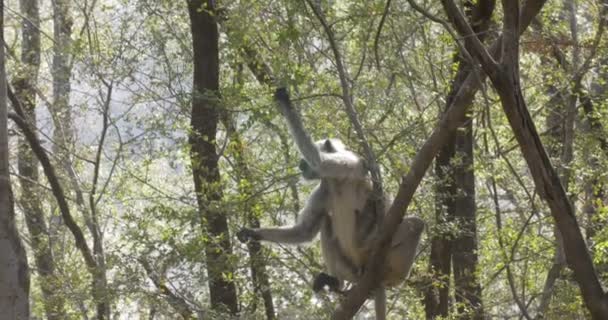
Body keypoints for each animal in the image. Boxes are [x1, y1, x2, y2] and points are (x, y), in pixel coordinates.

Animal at [236, 88, 422, 320]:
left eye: (304, 163)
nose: (301, 166)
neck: (336, 181)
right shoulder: (324, 188)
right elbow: (304, 231)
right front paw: (251, 233)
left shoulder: (350, 162)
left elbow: (321, 162)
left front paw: (284, 101)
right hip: (349, 264)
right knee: (326, 222)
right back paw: (337, 283)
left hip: (376, 248)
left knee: (417, 223)